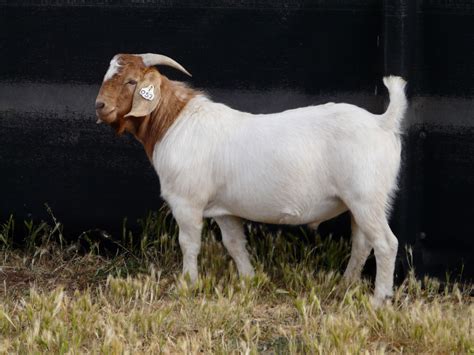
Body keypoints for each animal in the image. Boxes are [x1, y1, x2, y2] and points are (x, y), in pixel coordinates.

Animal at [95, 53, 408, 308]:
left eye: (132, 81)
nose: (99, 106)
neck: (174, 122)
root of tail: (382, 122)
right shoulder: (223, 210)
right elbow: (234, 243)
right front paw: (250, 279)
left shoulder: (187, 202)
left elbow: (189, 243)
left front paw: (187, 285)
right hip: (363, 201)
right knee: (362, 243)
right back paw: (346, 284)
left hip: (366, 197)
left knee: (386, 243)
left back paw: (379, 300)